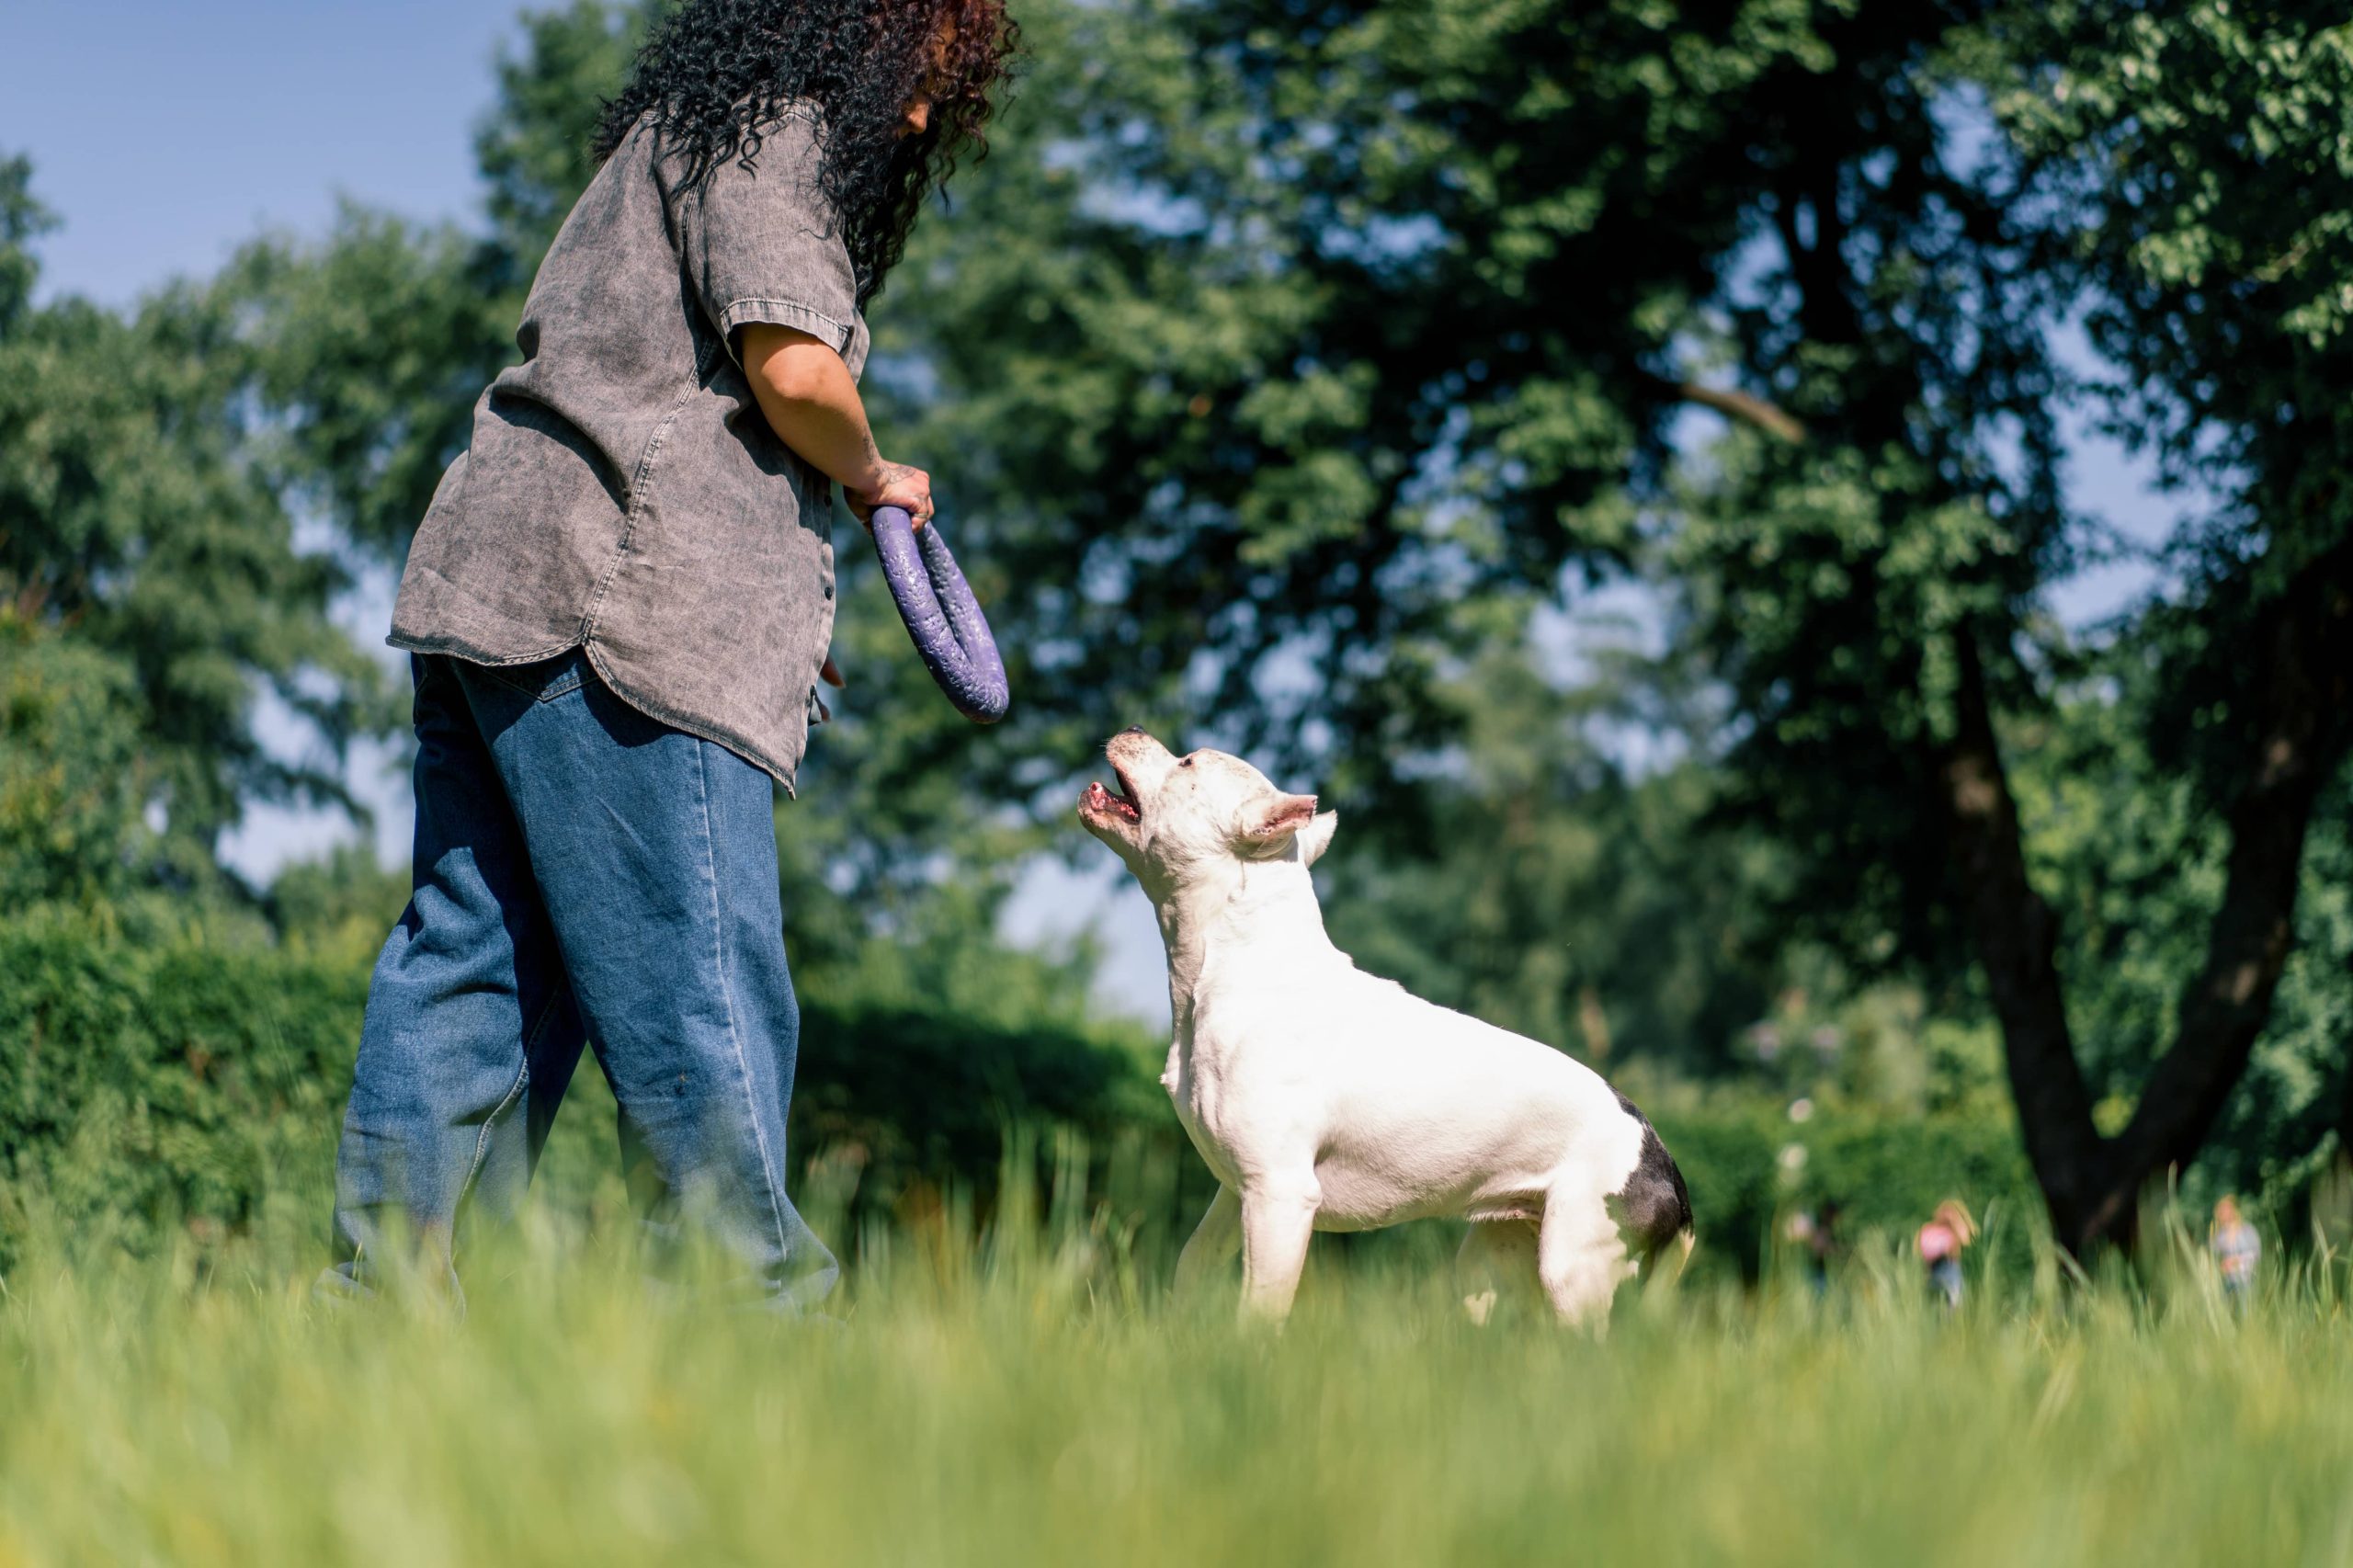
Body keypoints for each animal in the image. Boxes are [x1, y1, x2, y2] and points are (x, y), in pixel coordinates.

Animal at [1082, 724, 1694, 1318]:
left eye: (1188, 763)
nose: (1133, 724)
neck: (1238, 962)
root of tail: (1665, 1165)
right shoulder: (1235, 1195)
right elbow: (1193, 1268)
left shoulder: (1278, 1193)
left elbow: (1259, 1309)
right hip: (1491, 1264)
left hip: (1572, 1271)